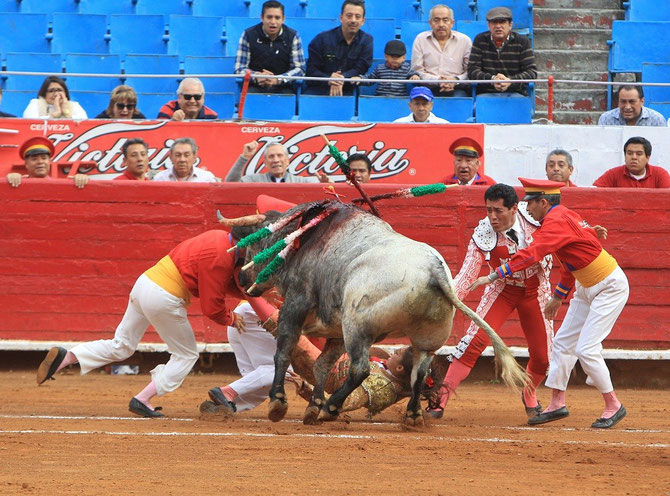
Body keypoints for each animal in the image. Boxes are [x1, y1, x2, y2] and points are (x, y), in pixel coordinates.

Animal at [231, 202, 532, 426]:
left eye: (251, 245)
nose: (242, 280)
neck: (301, 240)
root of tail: (434, 270)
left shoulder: (295, 305)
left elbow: (283, 352)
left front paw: (279, 402)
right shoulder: (335, 331)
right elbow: (321, 365)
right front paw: (313, 407)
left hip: (357, 327)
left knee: (360, 369)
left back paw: (332, 407)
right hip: (425, 339)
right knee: (419, 373)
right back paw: (412, 415)